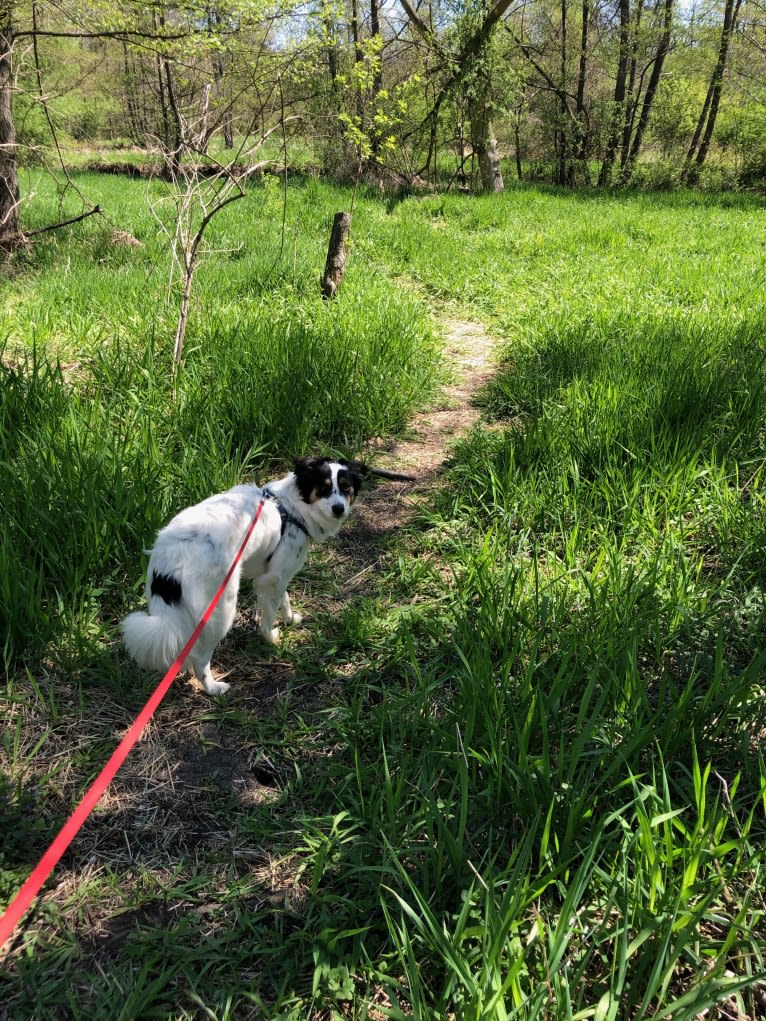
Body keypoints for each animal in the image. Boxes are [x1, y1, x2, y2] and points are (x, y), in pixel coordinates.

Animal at [123, 459, 410, 698]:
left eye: (346, 487)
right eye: (324, 488)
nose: (339, 509)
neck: (291, 507)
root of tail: (169, 559)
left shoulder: (276, 571)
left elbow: (284, 598)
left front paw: (290, 619)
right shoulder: (273, 577)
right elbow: (271, 611)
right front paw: (271, 636)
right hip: (221, 609)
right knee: (200, 658)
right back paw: (213, 688)